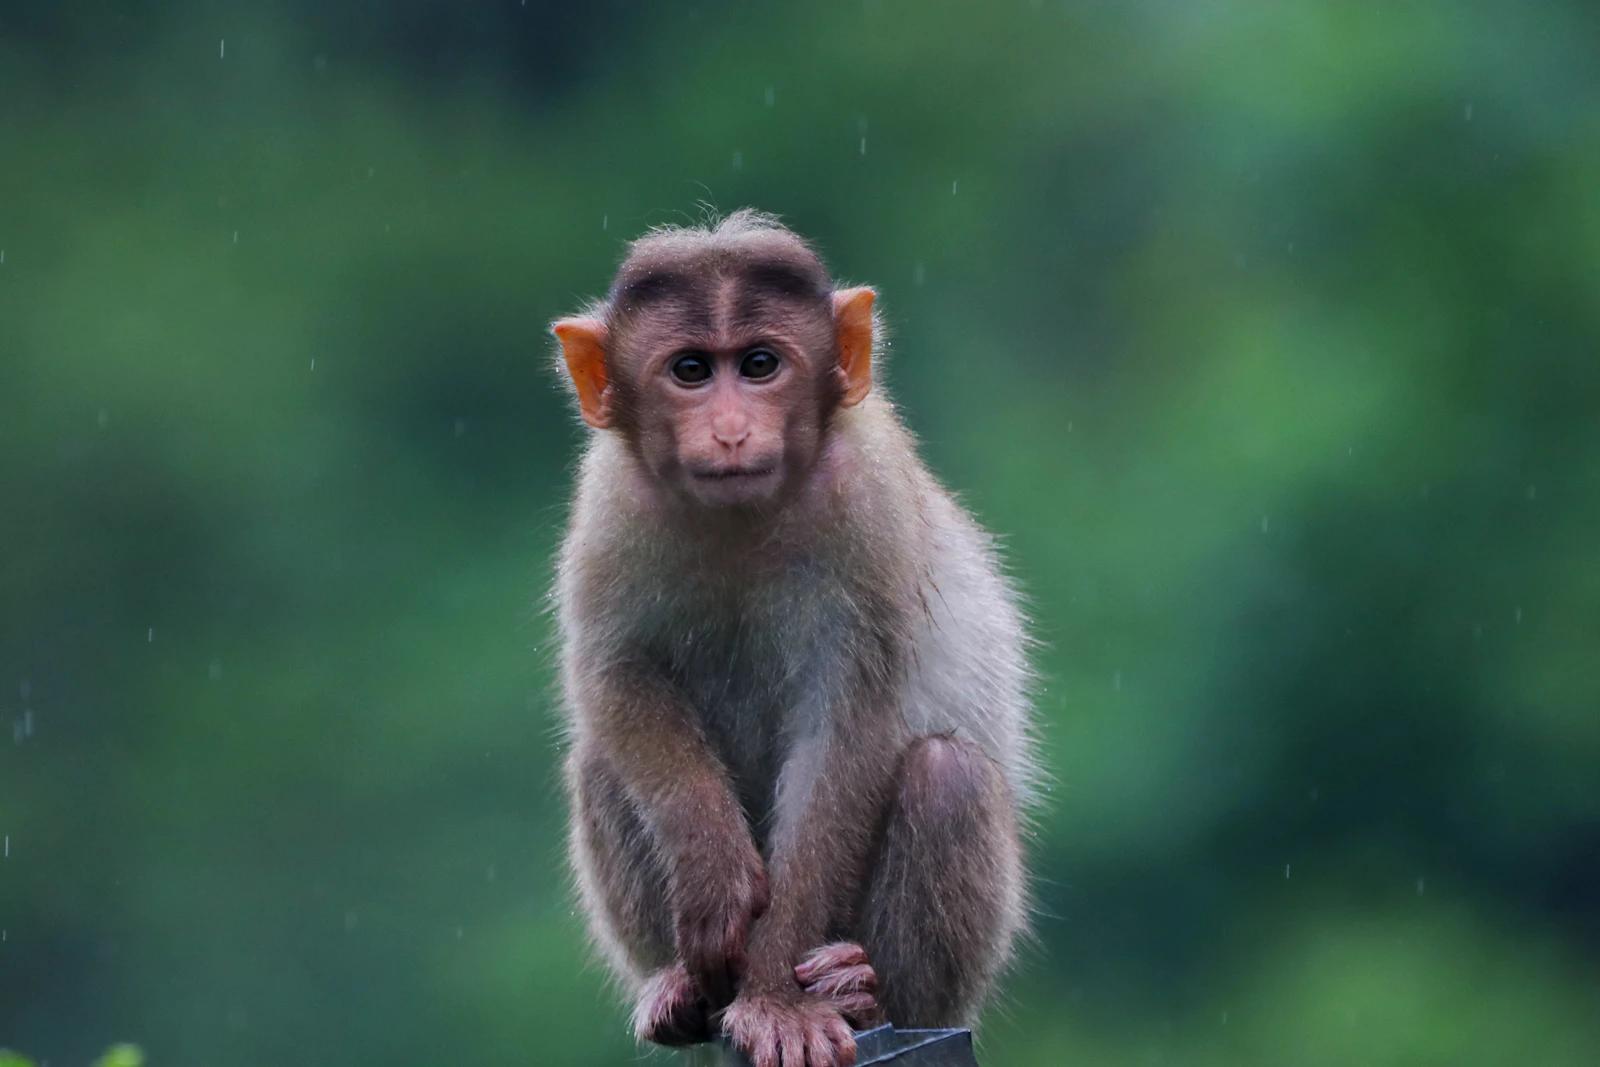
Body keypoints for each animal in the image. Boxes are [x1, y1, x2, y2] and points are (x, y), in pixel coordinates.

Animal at [549, 209, 1036, 1067]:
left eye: (761, 364)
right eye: (691, 370)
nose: (731, 430)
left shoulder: (866, 500)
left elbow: (845, 731)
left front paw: (777, 999)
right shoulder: (610, 502)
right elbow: (615, 674)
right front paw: (715, 874)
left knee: (947, 777)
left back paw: (862, 990)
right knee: (601, 762)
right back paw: (677, 990)